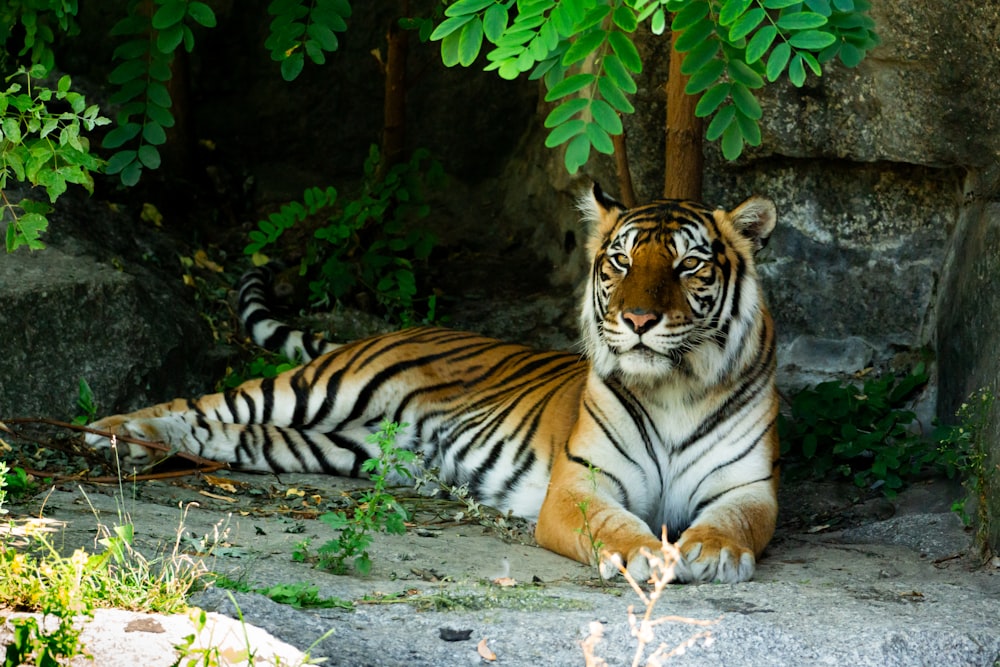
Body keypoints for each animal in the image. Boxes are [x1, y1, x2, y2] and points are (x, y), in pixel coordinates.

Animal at [86, 184, 780, 584]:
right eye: (620, 261)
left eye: (688, 265)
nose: (637, 321)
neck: (674, 389)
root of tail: (398, 329)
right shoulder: (579, 486)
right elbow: (609, 526)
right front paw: (644, 555)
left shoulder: (748, 487)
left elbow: (736, 523)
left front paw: (713, 553)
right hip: (319, 388)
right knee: (207, 401)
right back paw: (113, 433)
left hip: (339, 447)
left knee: (229, 434)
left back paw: (145, 446)